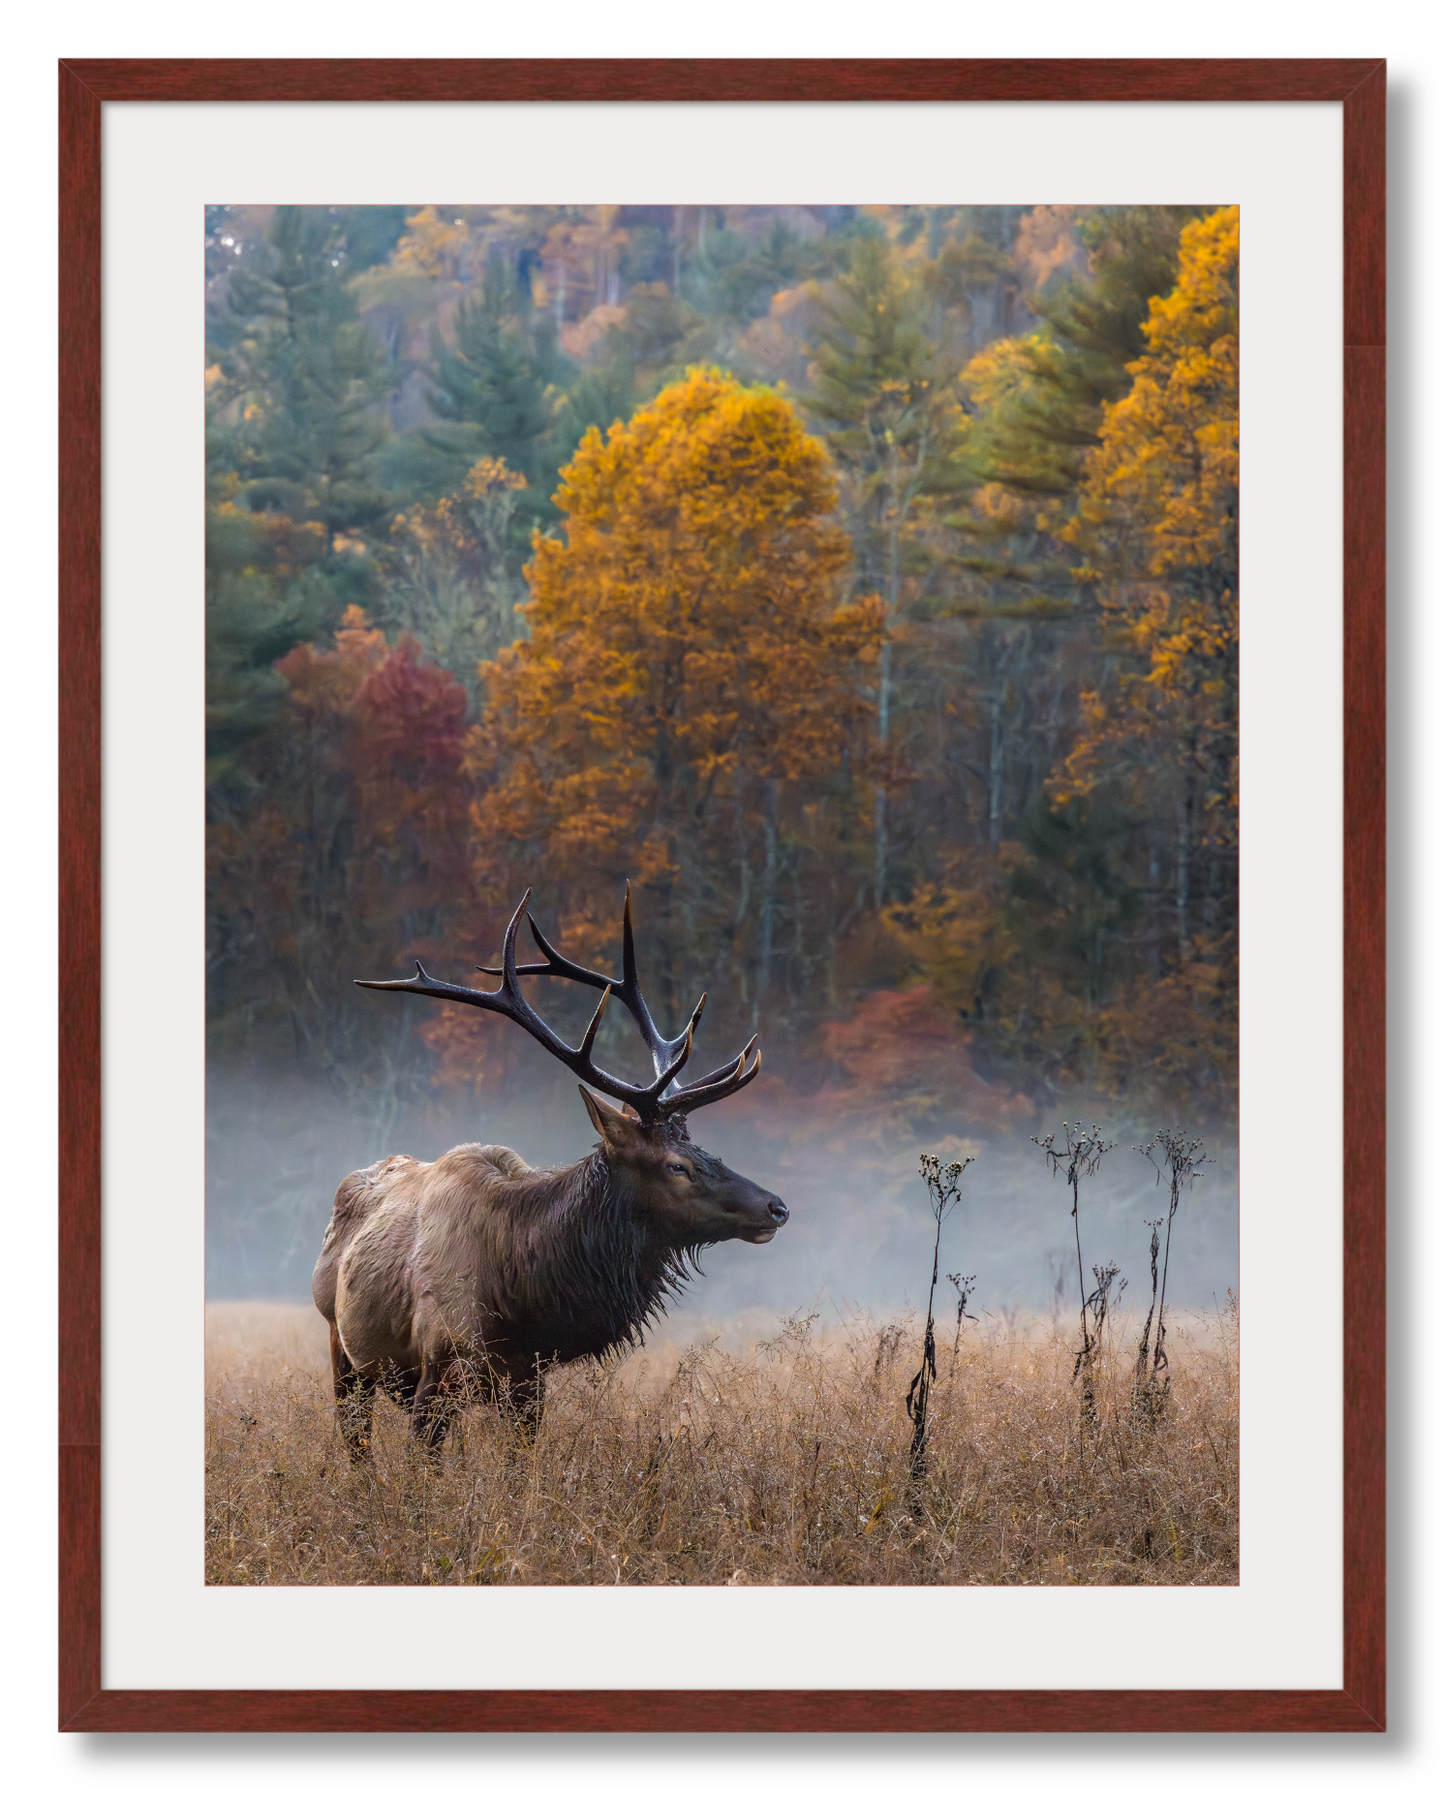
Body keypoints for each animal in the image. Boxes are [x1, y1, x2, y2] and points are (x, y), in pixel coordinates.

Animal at [313, 882, 792, 1455]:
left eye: (703, 1149)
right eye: (677, 1165)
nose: (776, 1207)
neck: (521, 1300)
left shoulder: (527, 1383)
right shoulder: (439, 1368)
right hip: (344, 1350)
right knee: (356, 1444)